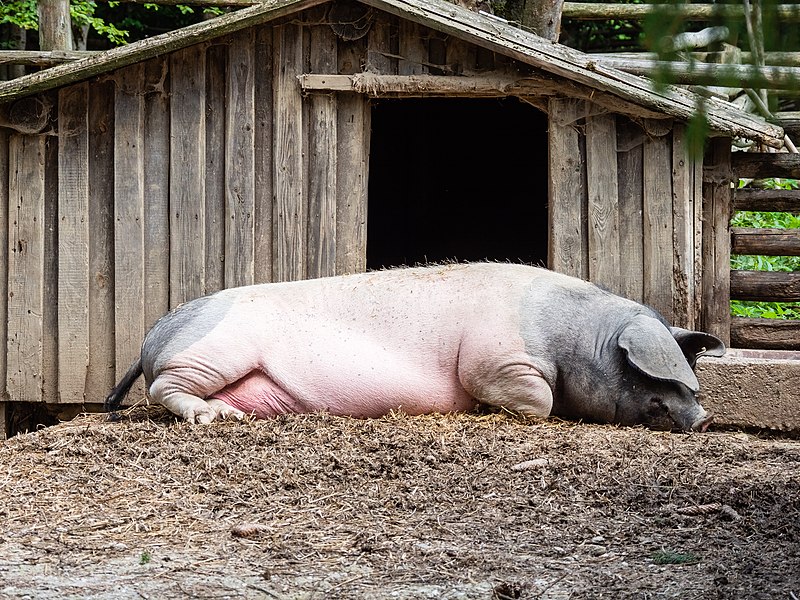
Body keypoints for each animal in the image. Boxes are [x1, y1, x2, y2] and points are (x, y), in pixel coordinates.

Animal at [104, 262, 724, 432]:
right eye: (650, 375)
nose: (703, 417)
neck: (574, 340)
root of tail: (152, 336)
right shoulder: (496, 360)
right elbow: (536, 400)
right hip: (211, 350)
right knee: (163, 389)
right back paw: (210, 419)